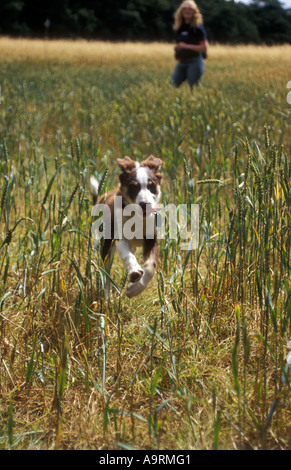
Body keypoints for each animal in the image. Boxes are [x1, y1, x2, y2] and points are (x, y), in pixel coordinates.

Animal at [90, 157, 163, 298]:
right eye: (133, 187)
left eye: (151, 186)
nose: (145, 204)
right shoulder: (123, 239)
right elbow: (127, 255)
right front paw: (134, 272)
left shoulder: (152, 240)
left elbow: (150, 267)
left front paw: (134, 289)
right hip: (106, 242)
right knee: (105, 269)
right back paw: (106, 296)